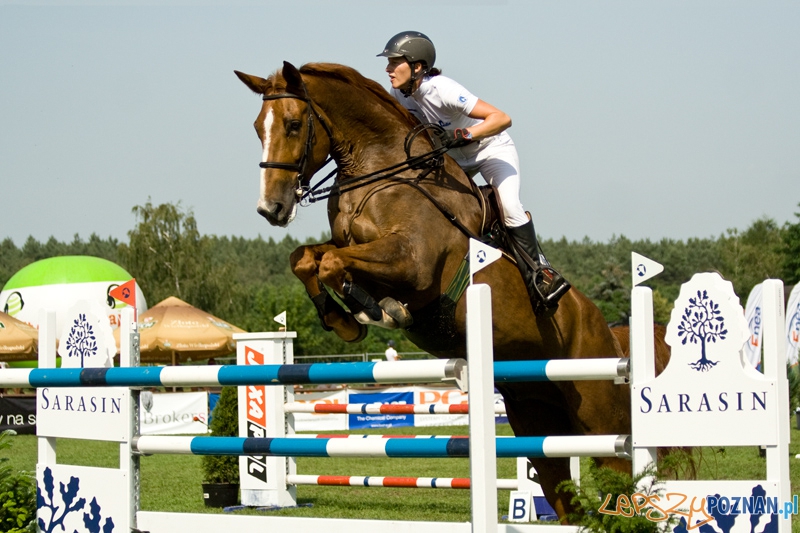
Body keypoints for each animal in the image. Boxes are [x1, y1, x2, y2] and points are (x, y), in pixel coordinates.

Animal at [236, 62, 636, 520]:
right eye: (257, 127)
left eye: (293, 124)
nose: (271, 209)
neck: (380, 170)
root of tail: (609, 330)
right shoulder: (352, 247)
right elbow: (307, 258)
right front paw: (345, 318)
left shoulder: (413, 264)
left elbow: (334, 264)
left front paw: (377, 311)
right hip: (535, 417)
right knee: (561, 488)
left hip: (597, 414)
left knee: (619, 470)